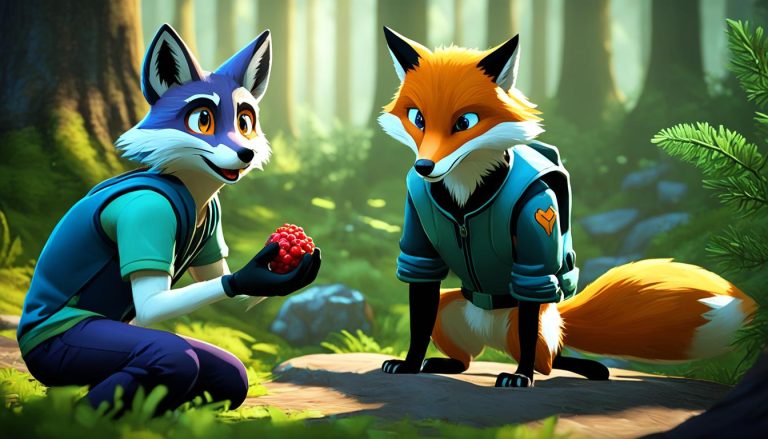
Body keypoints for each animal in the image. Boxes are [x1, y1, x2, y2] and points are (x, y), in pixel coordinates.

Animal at [17, 24, 321, 414]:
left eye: (245, 122)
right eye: (202, 120)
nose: (246, 152)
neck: (189, 185)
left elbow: (226, 285)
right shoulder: (147, 213)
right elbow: (150, 305)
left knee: (230, 375)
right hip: (63, 351)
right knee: (174, 357)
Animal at [377, 27, 757, 388]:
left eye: (464, 122)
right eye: (418, 118)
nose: (424, 167)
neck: (466, 199)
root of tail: (492, 332)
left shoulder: (536, 225)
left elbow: (531, 299)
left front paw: (520, 378)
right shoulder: (420, 248)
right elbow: (418, 316)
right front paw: (410, 364)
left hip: (525, 324)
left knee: (547, 359)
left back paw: (578, 368)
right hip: (448, 310)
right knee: (467, 360)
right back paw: (441, 363)